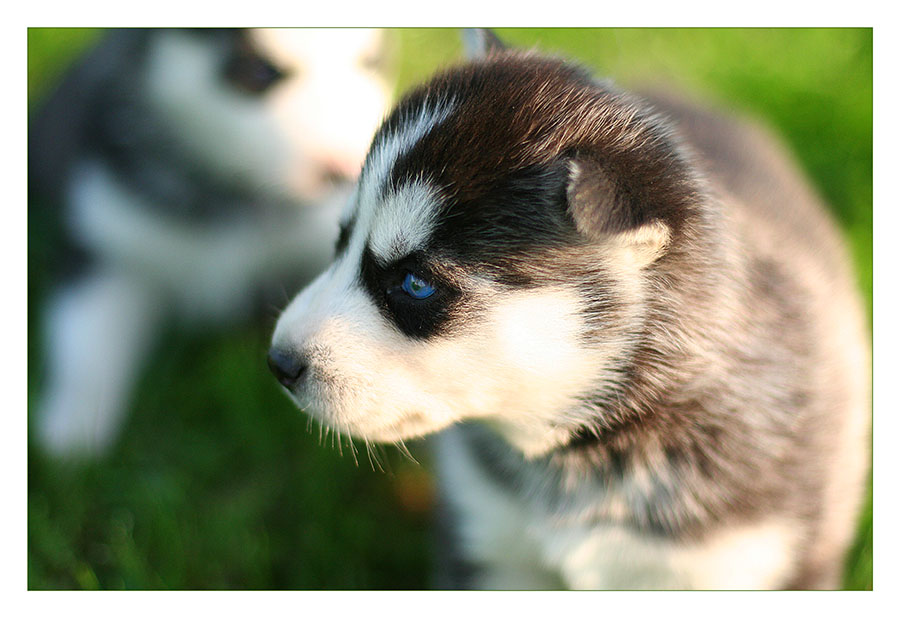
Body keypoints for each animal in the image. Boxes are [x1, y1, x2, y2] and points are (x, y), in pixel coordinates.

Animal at [32, 26, 390, 454]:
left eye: (371, 62)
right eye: (258, 70)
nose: (345, 168)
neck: (234, 197)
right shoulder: (109, 234)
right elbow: (85, 328)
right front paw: (75, 424)